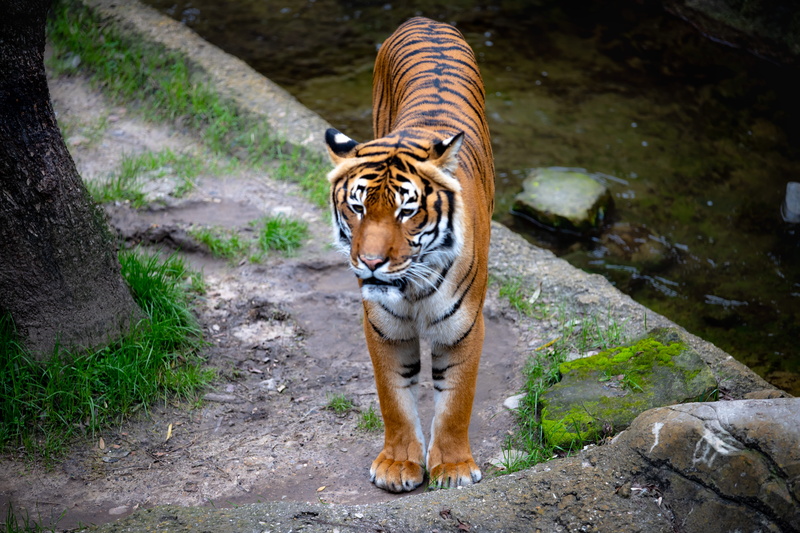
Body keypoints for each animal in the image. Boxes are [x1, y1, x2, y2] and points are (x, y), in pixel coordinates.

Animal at [324, 16, 495, 492]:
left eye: (406, 211)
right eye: (358, 207)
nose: (371, 263)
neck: (411, 287)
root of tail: (425, 20)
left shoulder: (462, 327)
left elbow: (455, 401)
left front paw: (453, 468)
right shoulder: (383, 326)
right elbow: (394, 398)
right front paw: (399, 464)